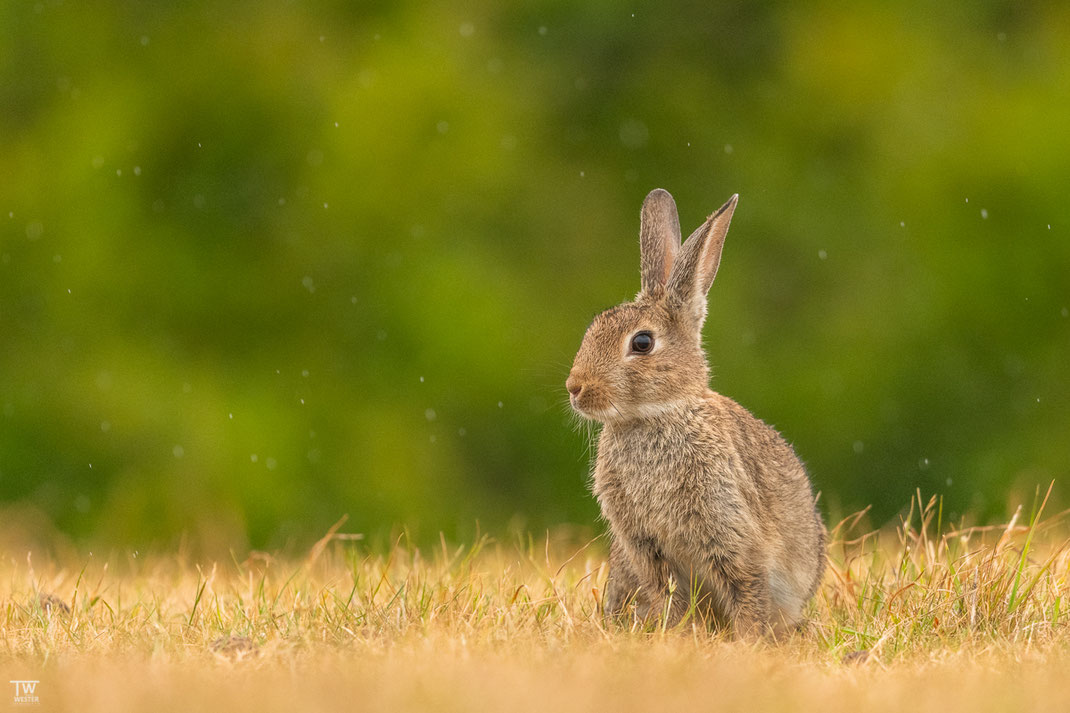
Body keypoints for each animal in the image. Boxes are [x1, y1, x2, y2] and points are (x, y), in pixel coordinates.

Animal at [569, 187, 826, 633]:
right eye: (593, 329)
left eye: (642, 343)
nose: (575, 388)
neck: (656, 415)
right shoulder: (646, 548)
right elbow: (669, 594)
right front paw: (676, 634)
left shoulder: (729, 529)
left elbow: (745, 586)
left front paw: (747, 638)